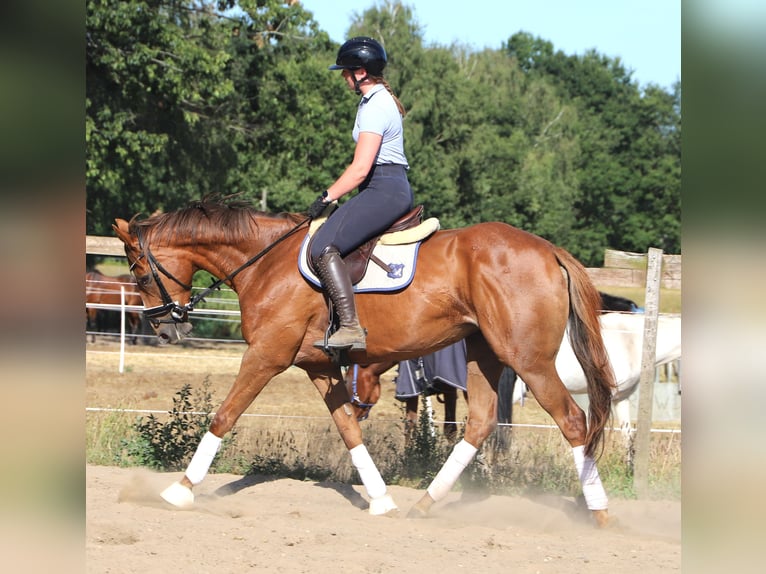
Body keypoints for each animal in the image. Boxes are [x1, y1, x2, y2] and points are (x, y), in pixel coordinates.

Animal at [112, 198, 616, 527]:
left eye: (140, 273)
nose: (166, 330)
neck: (264, 261)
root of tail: (549, 250)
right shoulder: (318, 366)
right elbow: (349, 429)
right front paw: (379, 500)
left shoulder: (267, 355)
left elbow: (224, 415)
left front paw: (179, 489)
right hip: (485, 353)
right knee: (480, 423)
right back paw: (424, 504)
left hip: (527, 358)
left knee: (573, 421)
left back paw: (600, 515)